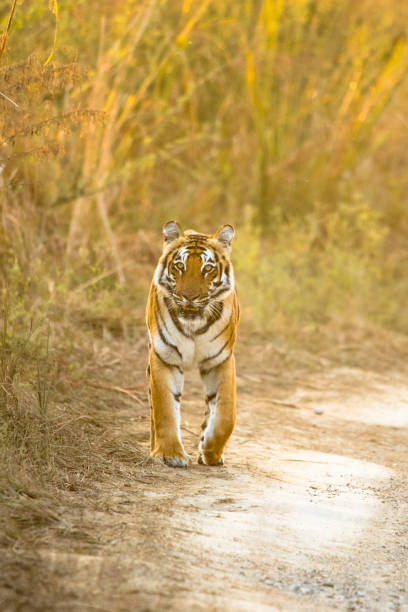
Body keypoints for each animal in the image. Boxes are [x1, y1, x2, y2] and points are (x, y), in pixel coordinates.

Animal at [146, 222, 239, 466]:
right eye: (180, 266)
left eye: (207, 269)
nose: (189, 297)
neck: (194, 326)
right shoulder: (164, 357)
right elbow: (165, 408)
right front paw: (170, 453)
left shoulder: (220, 359)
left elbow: (226, 414)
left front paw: (211, 451)